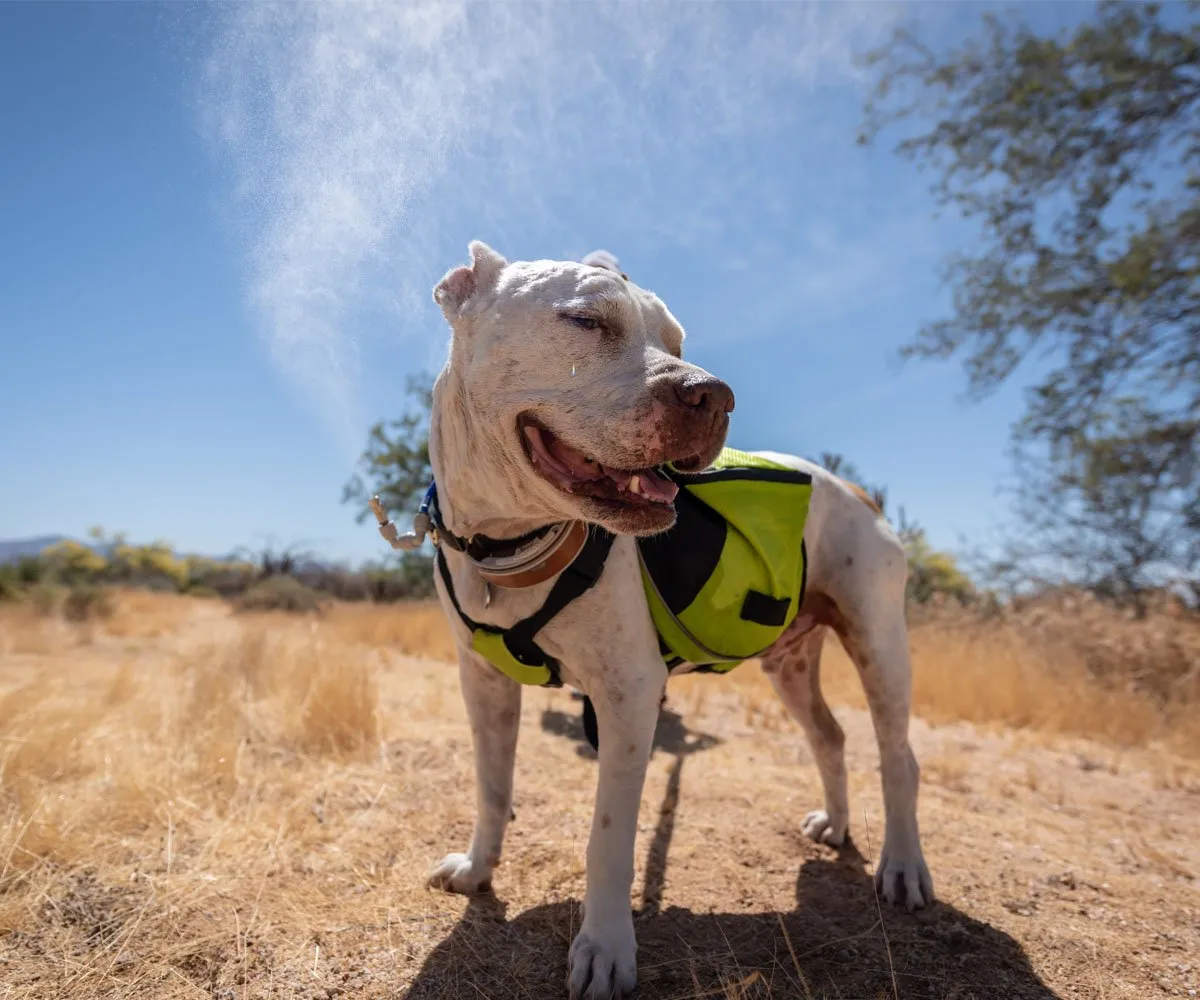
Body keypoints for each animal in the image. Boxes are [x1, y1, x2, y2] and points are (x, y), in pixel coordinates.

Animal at [410, 242, 926, 998]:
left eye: (678, 342)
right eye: (586, 320)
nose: (714, 394)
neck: (509, 544)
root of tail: (856, 488)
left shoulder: (628, 697)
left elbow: (607, 836)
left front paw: (604, 947)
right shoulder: (483, 686)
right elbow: (491, 785)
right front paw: (479, 869)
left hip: (880, 645)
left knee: (899, 758)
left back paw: (904, 866)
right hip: (791, 664)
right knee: (830, 737)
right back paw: (834, 825)